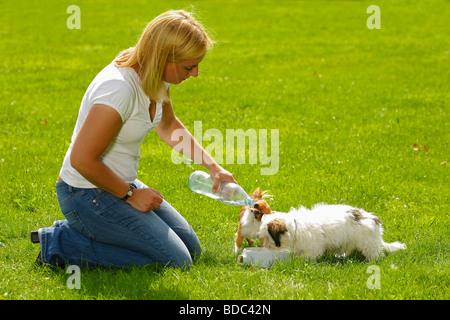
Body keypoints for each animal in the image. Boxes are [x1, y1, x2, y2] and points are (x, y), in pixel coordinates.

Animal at [258, 204, 406, 262]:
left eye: (269, 238)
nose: (266, 246)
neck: (295, 226)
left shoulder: (314, 247)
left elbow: (309, 256)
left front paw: (299, 260)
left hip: (368, 242)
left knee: (374, 253)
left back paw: (371, 261)